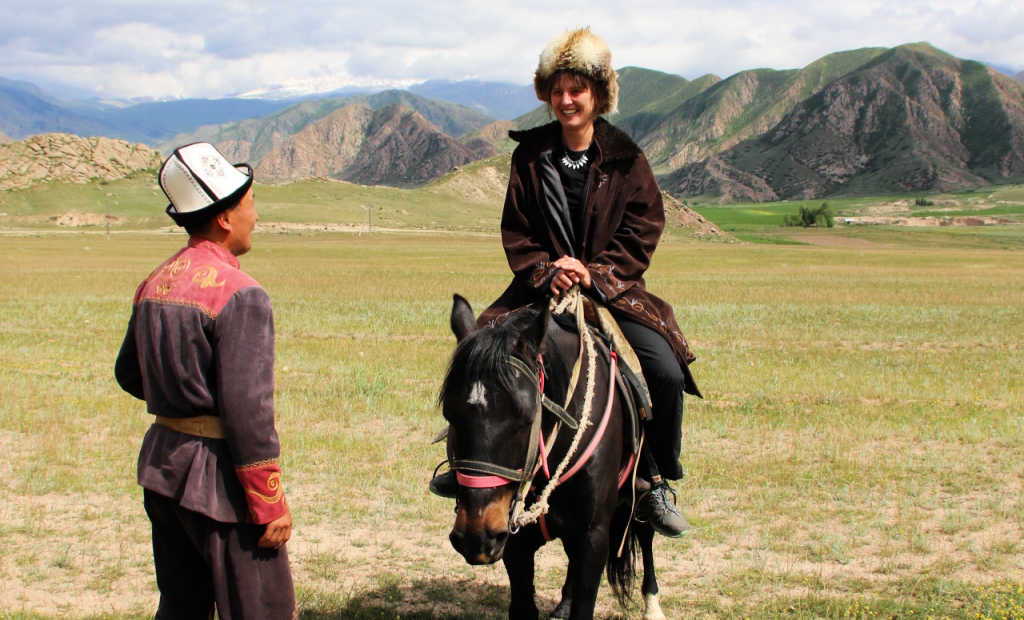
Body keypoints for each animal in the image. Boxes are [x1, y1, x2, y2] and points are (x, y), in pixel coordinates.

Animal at [438, 295, 663, 618]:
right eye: (450, 415)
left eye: (527, 416)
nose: (475, 537)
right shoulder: (516, 543)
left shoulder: (593, 536)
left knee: (645, 533)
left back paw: (652, 604)